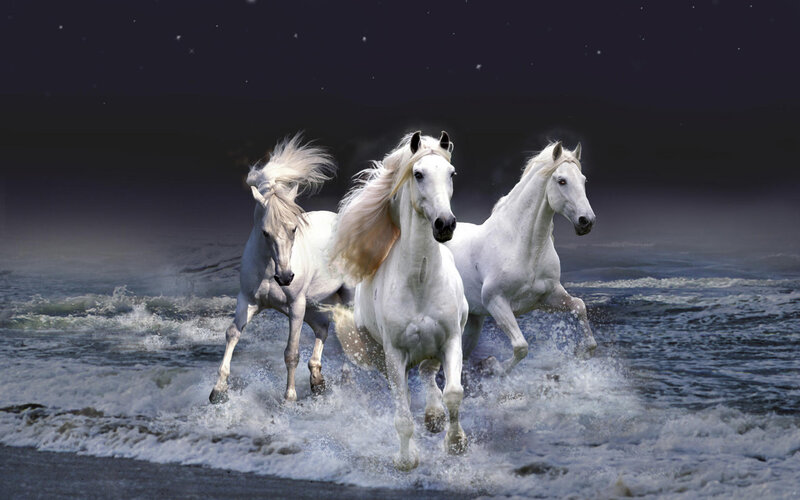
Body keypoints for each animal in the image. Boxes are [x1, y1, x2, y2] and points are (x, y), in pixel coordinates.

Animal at [209, 134, 353, 404]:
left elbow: (291, 352)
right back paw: (317, 381)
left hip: (344, 297)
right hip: (314, 303)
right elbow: (232, 333)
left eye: (294, 228)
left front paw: (289, 398)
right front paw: (218, 390)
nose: (285, 277)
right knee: (323, 328)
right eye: (265, 232)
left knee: (349, 333)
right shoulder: (248, 301)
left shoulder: (295, 305)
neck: (268, 269)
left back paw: (345, 378)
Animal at [328, 131, 468, 471]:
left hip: (435, 346)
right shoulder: (394, 354)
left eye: (451, 173)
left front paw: (455, 443)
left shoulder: (451, 339)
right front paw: (406, 460)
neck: (420, 281)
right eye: (418, 174)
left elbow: (453, 393)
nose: (445, 224)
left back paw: (434, 417)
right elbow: (403, 415)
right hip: (381, 356)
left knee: (429, 373)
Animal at [445, 141, 597, 375]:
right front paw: (493, 366)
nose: (586, 221)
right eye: (562, 181)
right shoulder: (496, 302)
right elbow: (521, 346)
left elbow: (579, 306)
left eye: (583, 180)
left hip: (473, 321)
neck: (523, 247)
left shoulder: (547, 297)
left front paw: (582, 351)